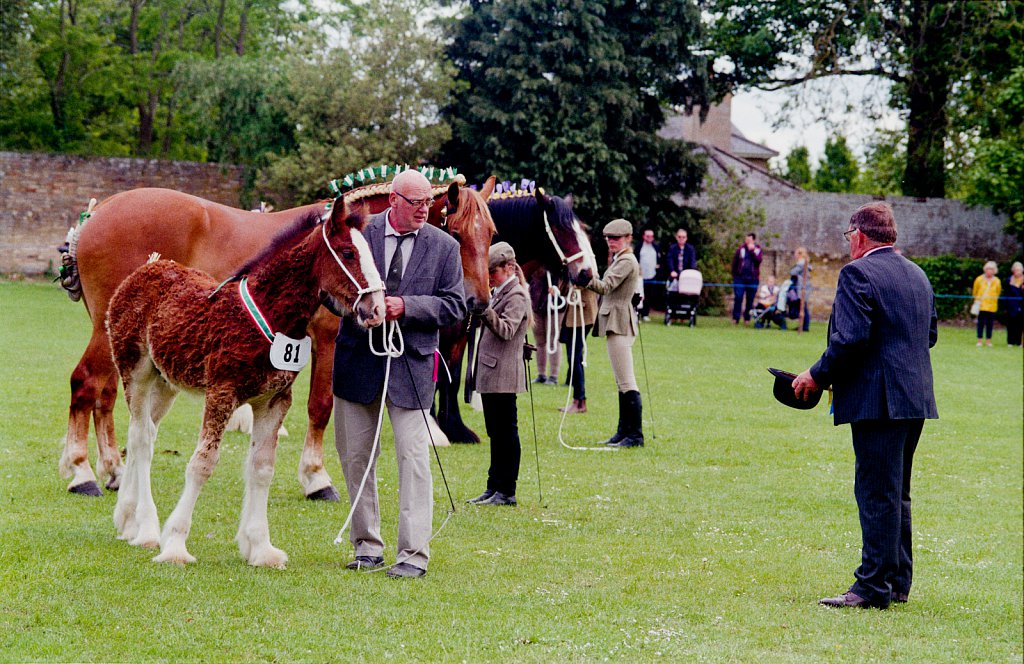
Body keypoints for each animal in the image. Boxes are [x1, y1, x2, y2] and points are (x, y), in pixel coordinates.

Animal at [59, 176, 495, 498]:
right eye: (456, 233)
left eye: (491, 233)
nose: (477, 302)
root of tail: (96, 214)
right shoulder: (327, 341)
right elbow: (320, 406)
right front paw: (317, 478)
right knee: (87, 383)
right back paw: (83, 473)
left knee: (107, 395)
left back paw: (114, 469)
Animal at [107, 199, 385, 569]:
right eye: (348, 252)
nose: (377, 309)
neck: (269, 316)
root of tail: (148, 267)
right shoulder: (221, 393)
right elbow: (203, 464)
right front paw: (176, 544)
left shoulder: (275, 400)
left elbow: (262, 468)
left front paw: (261, 547)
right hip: (135, 372)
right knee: (141, 439)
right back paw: (149, 529)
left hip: (165, 382)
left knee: (142, 433)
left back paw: (127, 520)